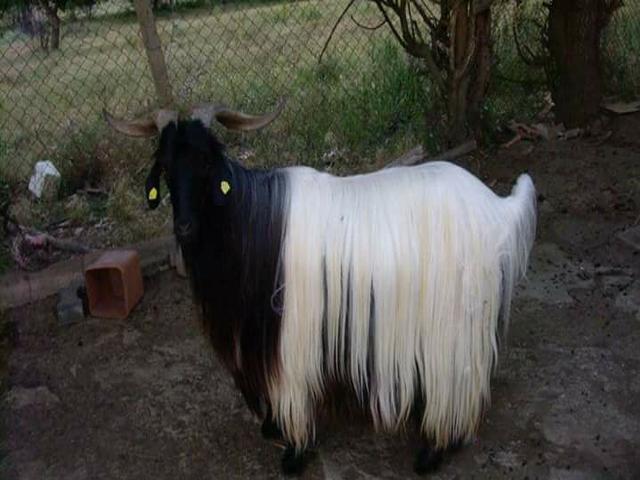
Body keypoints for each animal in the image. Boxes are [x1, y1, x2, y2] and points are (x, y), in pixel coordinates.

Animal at [104, 100, 536, 476]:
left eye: (206, 161)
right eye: (164, 167)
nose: (184, 228)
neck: (249, 224)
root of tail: (497, 209)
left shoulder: (289, 337)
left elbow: (290, 390)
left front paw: (294, 454)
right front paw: (272, 429)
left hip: (455, 321)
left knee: (458, 380)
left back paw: (433, 452)